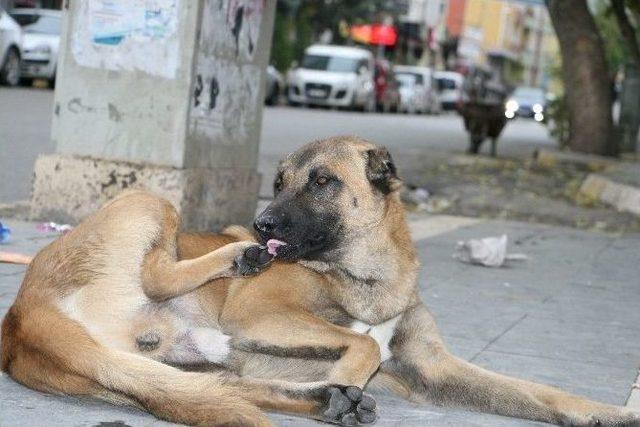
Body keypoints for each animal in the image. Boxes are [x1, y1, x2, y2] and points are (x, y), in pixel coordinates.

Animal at [1, 138, 640, 427]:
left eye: (324, 181)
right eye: (279, 182)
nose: (262, 224)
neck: (364, 276)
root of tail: (20, 321)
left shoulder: (432, 369)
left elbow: (541, 392)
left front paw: (605, 411)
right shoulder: (257, 317)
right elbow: (359, 342)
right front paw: (350, 373)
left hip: (184, 368)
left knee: (233, 388)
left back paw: (326, 401)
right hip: (146, 200)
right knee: (160, 277)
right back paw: (240, 262)